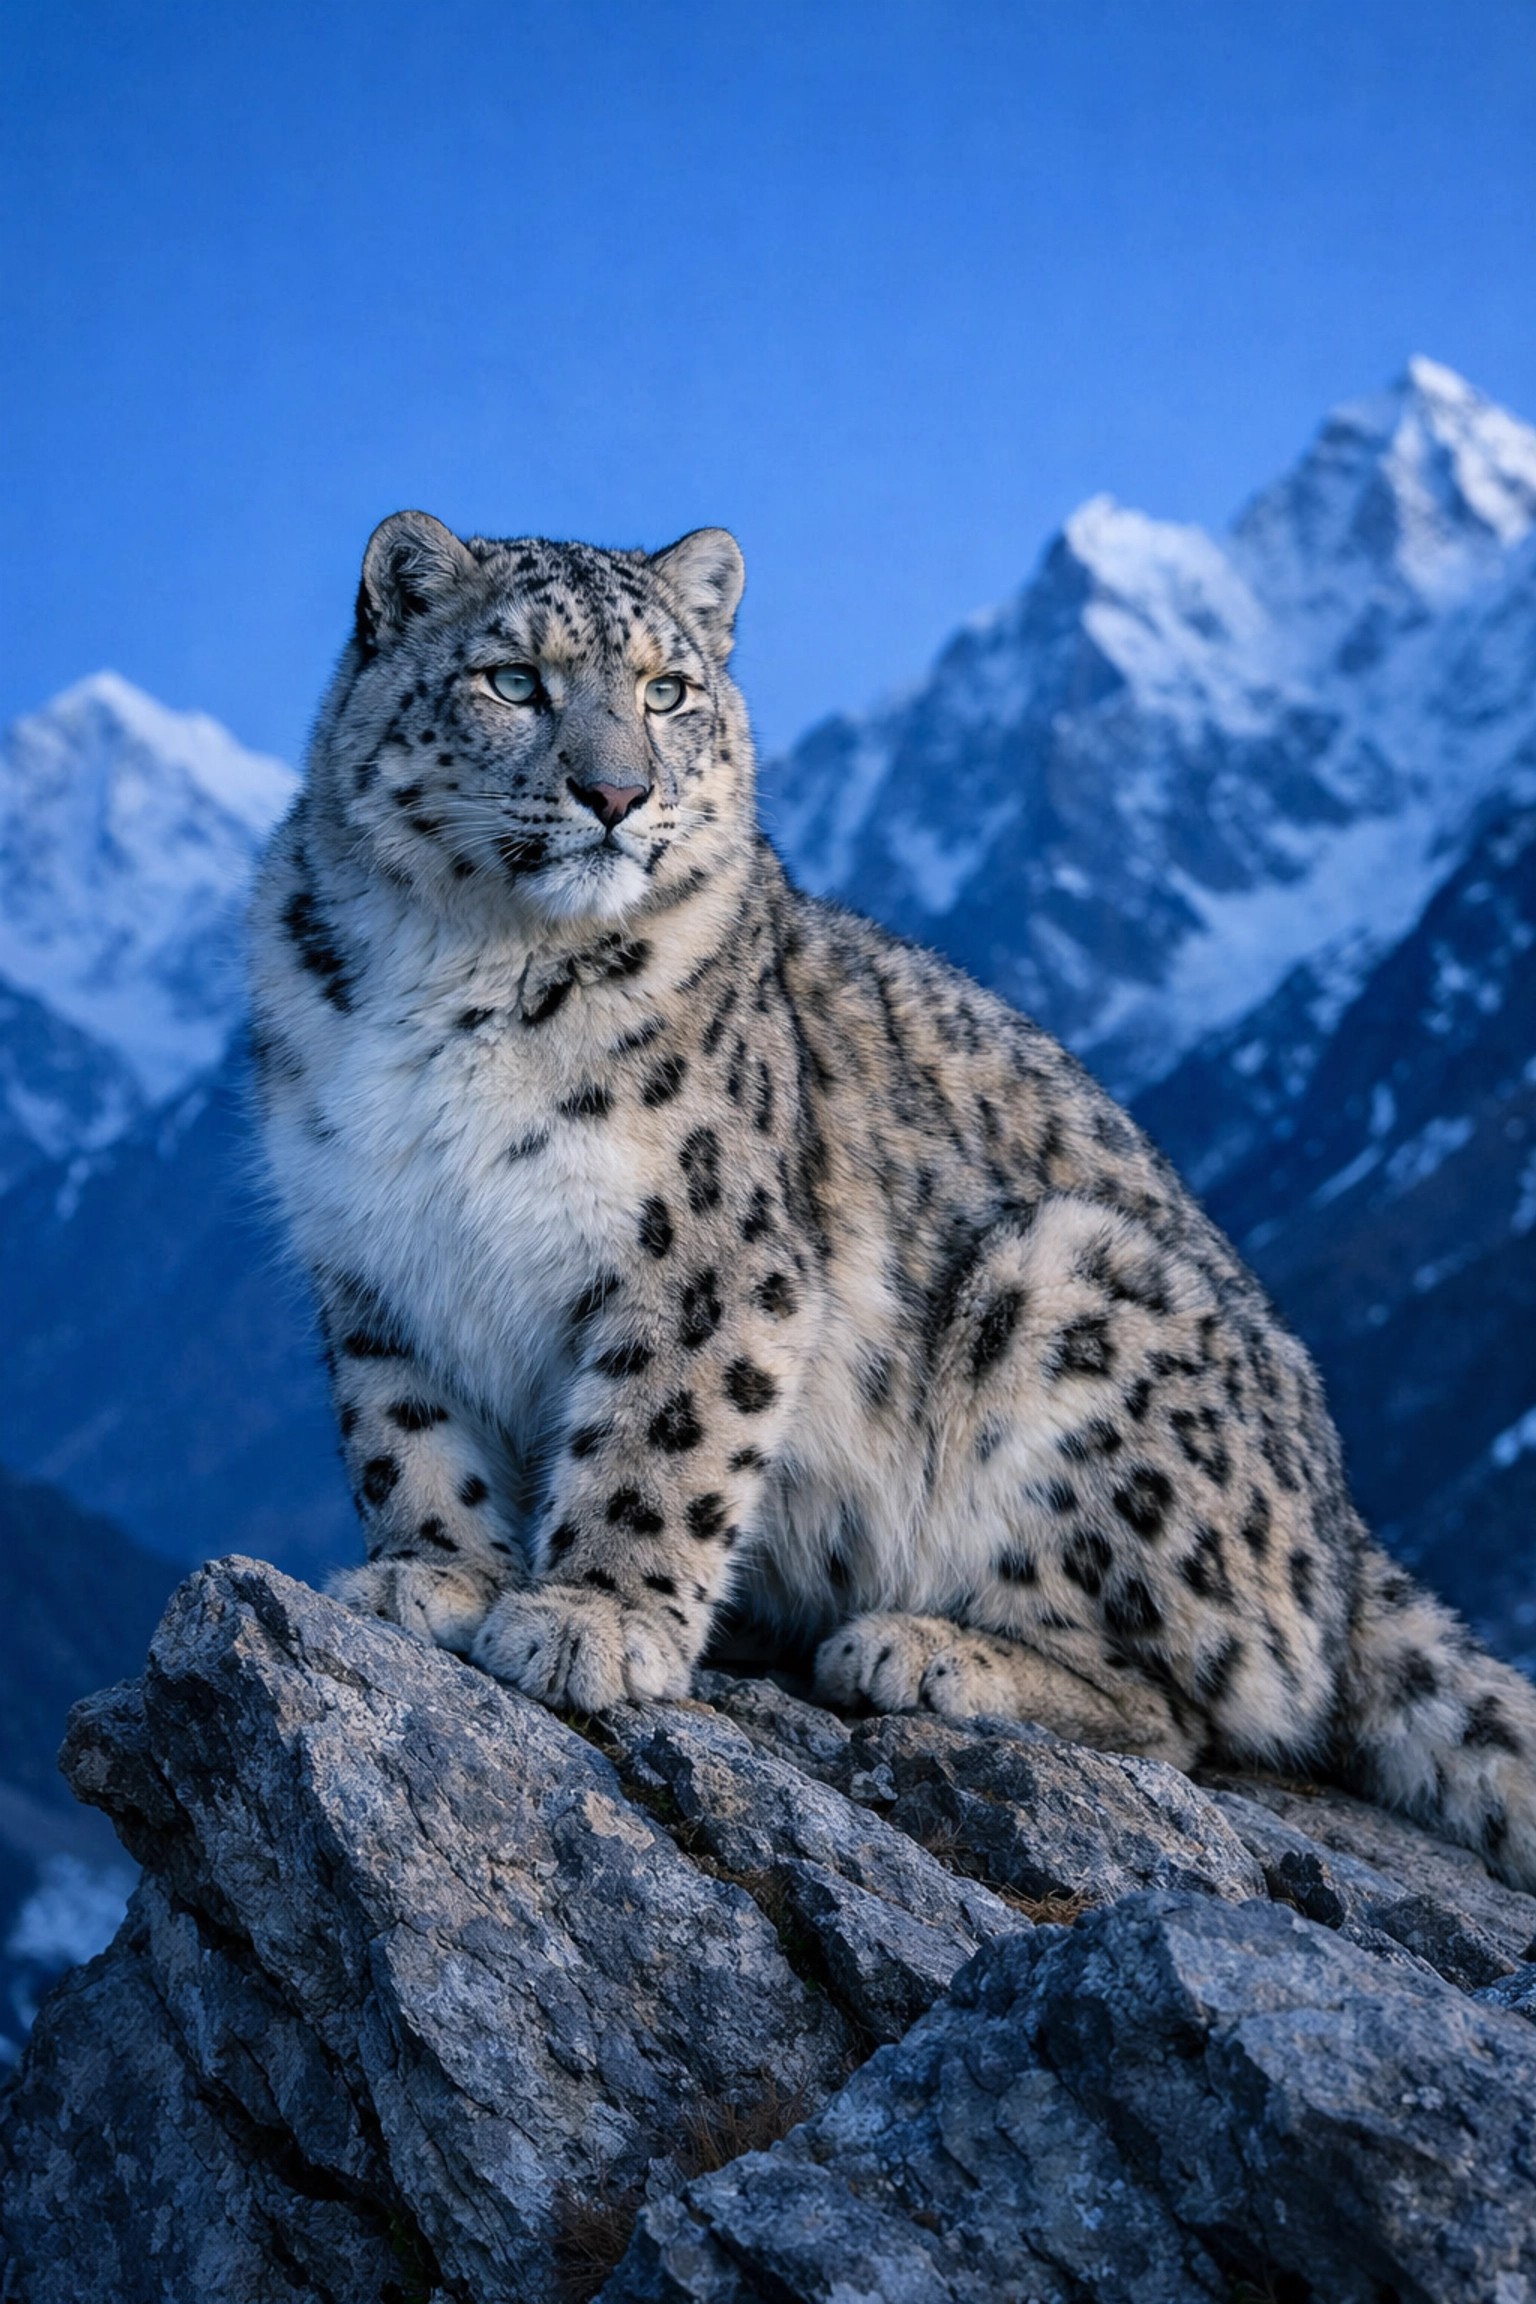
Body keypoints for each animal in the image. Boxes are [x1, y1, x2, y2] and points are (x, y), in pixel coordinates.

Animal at [248, 509, 1536, 1892]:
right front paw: (430, 1578)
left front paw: (595, 1618)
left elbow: (659, 1440)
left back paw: (921, 1650)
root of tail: (1347, 1542)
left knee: (1191, 1708)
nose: (616, 794)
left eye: (668, 692)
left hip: (1067, 1296)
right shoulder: (372, 1254)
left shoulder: (706, 1259)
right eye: (513, 680)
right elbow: (407, 1436)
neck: (459, 969)